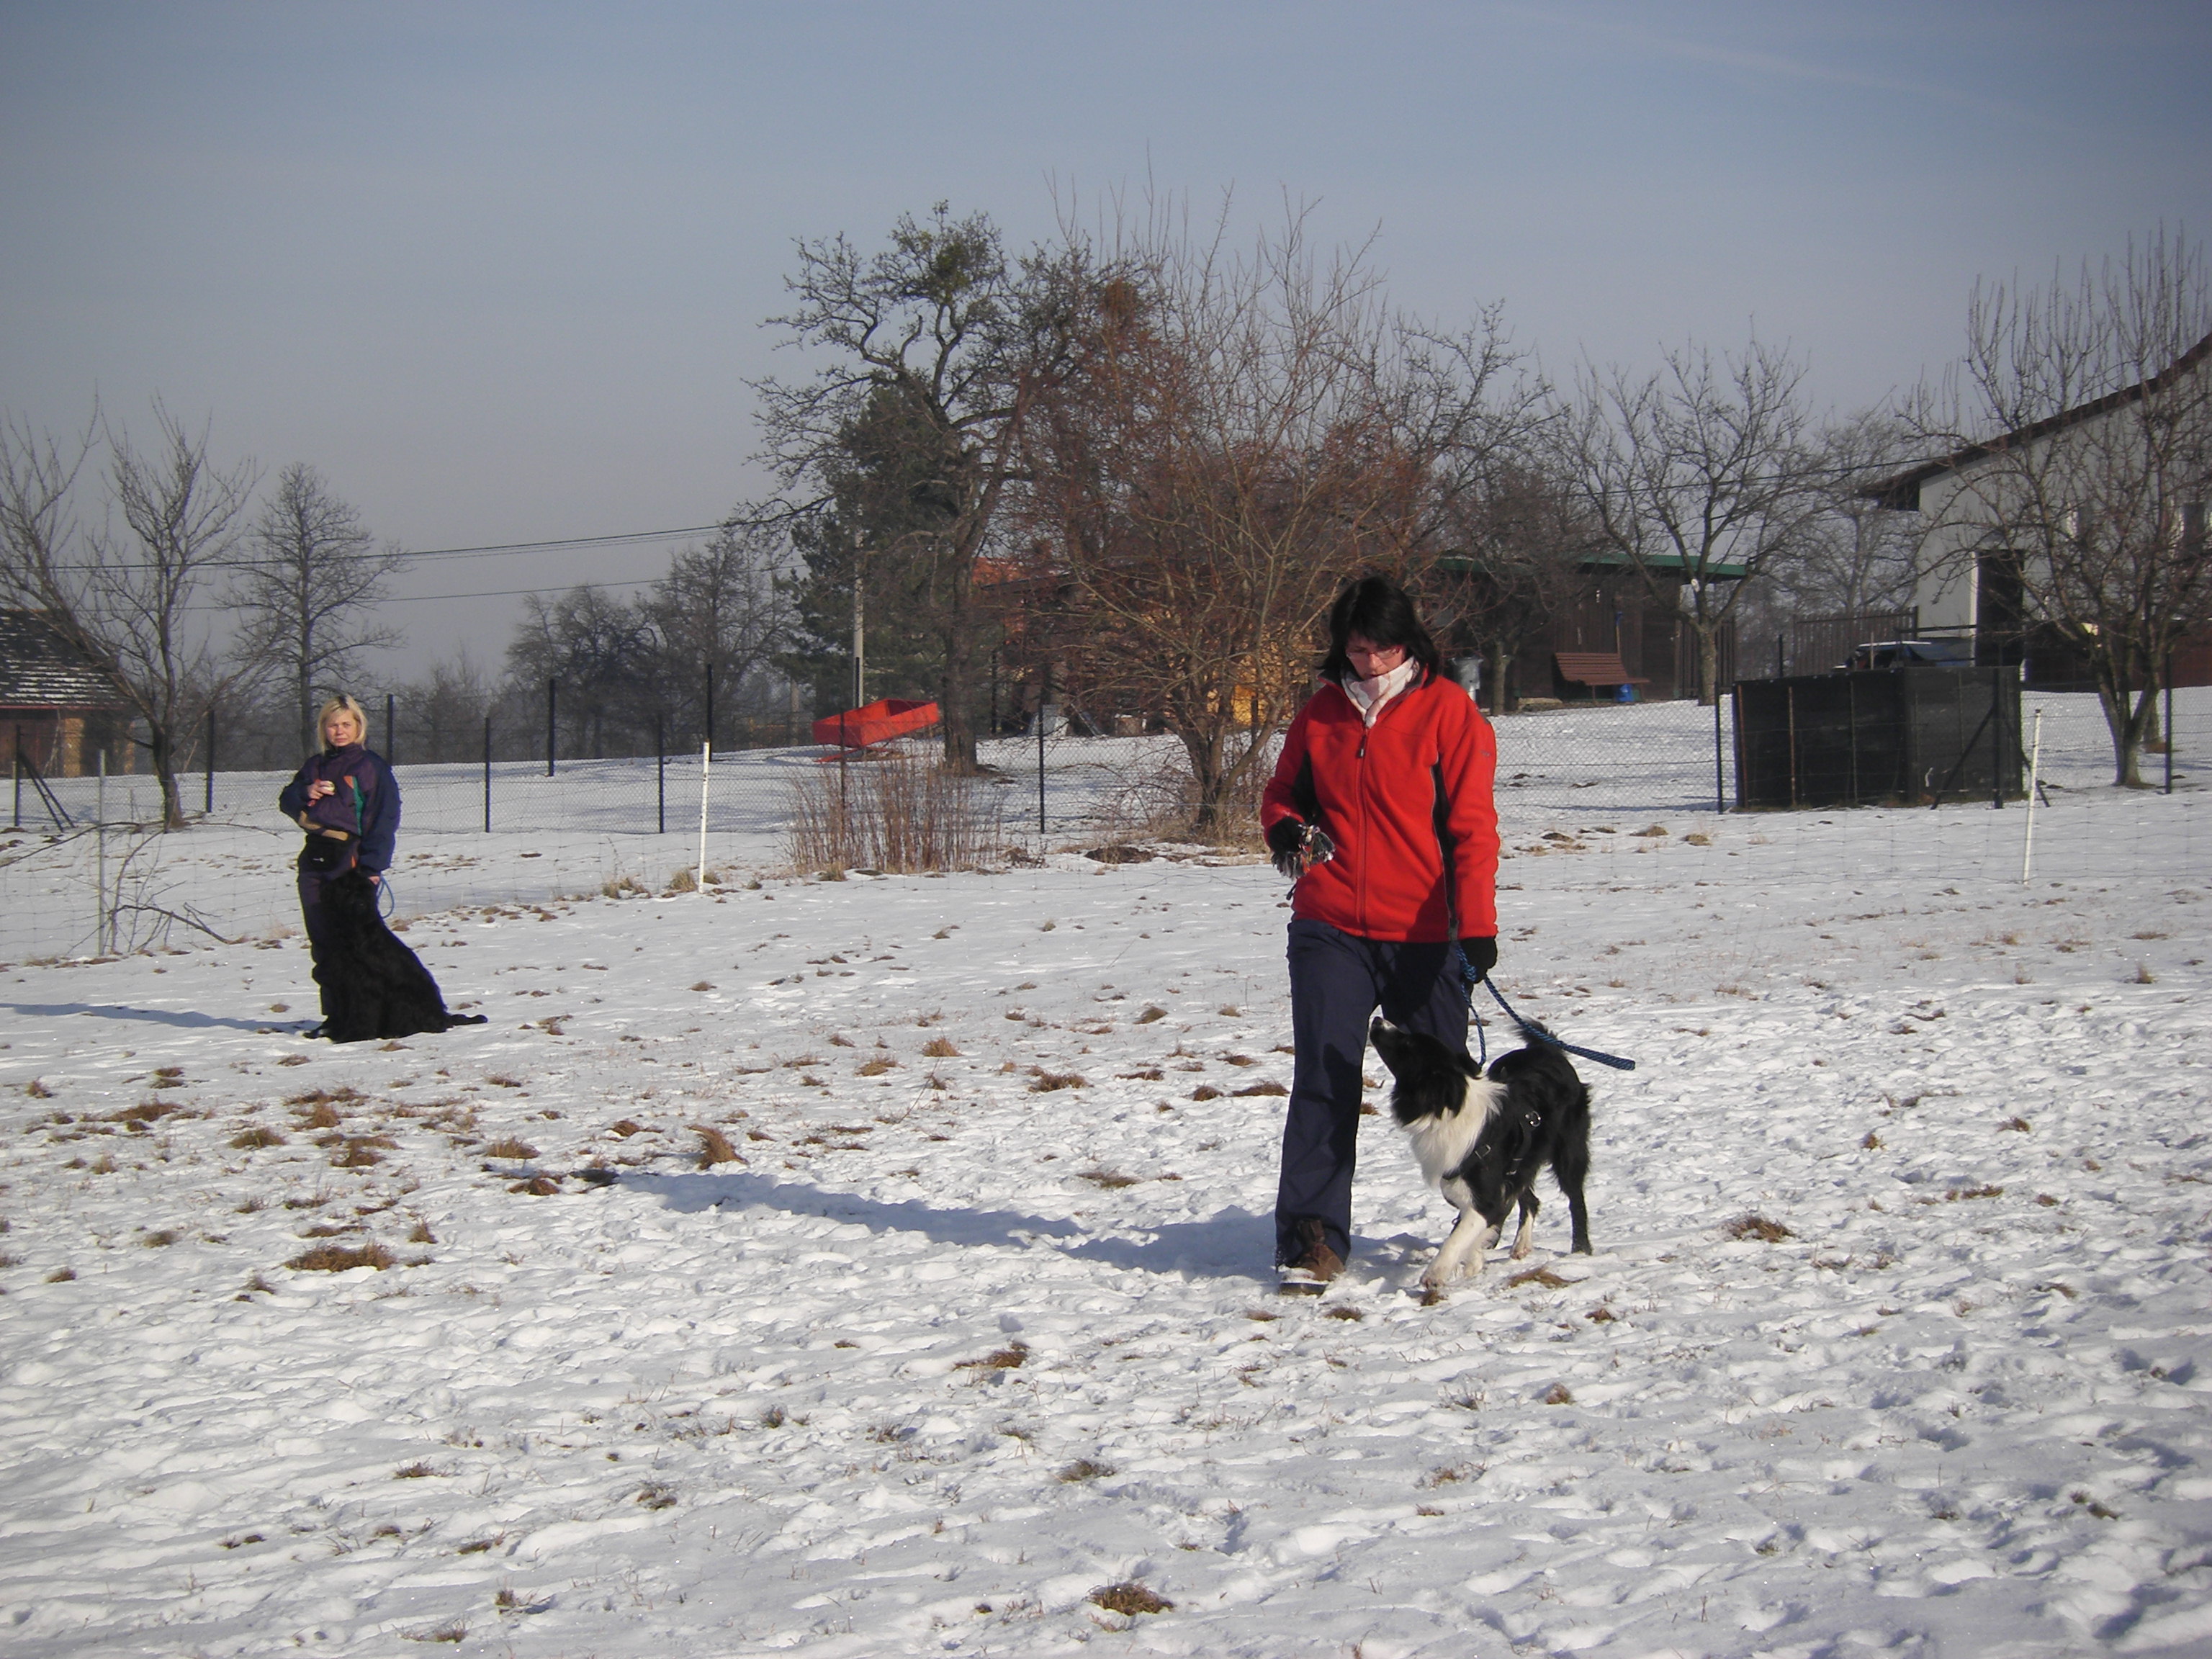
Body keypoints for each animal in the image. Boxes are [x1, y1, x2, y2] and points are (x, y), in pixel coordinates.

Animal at [316, 863, 488, 1043]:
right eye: (347, 889)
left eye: (366, 890)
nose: (362, 905)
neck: (355, 933)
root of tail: (443, 1016)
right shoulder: (342, 982)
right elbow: (344, 1010)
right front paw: (338, 1033)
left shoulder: (366, 984)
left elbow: (363, 1011)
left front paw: (356, 1035)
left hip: (404, 996)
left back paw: (396, 1032)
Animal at [1362, 1022, 1592, 1292]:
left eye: (1408, 1044)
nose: (1378, 1021)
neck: (1446, 1107)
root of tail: (1550, 1051)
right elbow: (1469, 1231)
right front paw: (1474, 1263)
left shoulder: (1485, 1195)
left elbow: (1458, 1236)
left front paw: (1435, 1274)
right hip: (1519, 1166)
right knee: (1530, 1200)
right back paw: (1521, 1245)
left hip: (1568, 1151)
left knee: (1575, 1200)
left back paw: (1581, 1251)